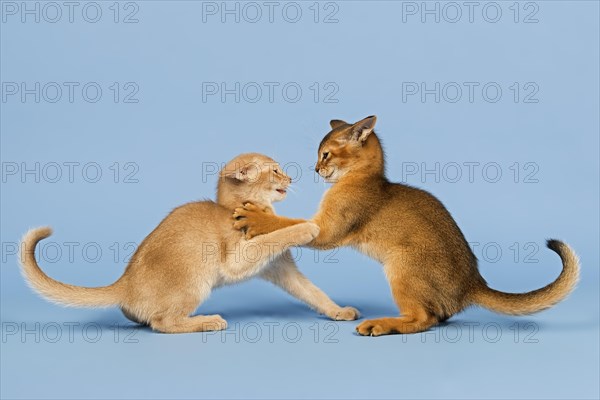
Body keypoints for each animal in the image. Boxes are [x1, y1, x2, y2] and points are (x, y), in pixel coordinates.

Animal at [18, 153, 358, 334]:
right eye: (275, 170)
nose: (290, 178)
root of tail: (124, 283)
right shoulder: (237, 258)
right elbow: (278, 235)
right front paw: (307, 227)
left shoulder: (279, 268)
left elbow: (312, 292)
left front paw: (338, 311)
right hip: (197, 280)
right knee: (162, 323)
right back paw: (208, 321)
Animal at [234, 117, 580, 336]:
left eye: (326, 154)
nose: (315, 169)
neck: (364, 179)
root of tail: (473, 284)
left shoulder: (328, 229)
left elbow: (292, 223)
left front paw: (256, 217)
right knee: (438, 317)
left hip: (401, 265)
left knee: (424, 318)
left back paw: (380, 324)